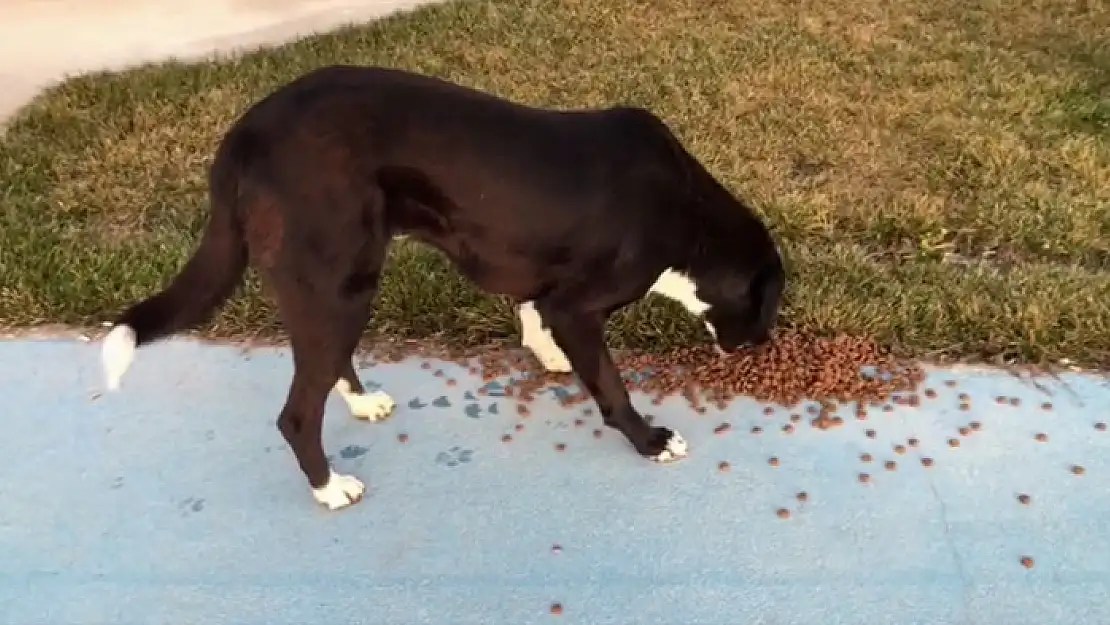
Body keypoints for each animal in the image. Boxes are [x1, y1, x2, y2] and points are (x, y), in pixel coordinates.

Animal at [102, 66, 781, 510]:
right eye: (765, 307)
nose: (758, 347)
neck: (688, 216)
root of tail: (243, 139)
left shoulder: (542, 277)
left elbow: (532, 310)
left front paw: (548, 353)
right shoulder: (580, 304)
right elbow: (611, 389)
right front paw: (649, 440)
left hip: (335, 283)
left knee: (325, 365)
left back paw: (361, 403)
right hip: (340, 282)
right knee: (296, 414)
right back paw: (330, 489)